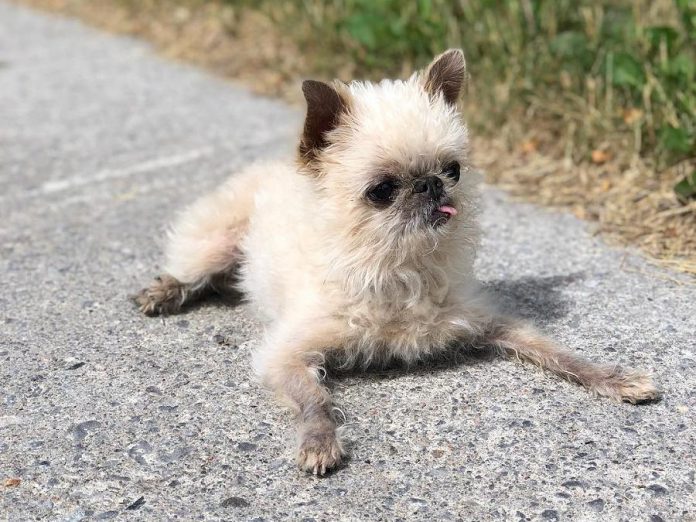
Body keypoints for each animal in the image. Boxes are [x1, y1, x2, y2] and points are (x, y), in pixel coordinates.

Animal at [135, 50, 656, 474]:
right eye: (382, 190)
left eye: (453, 170)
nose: (431, 184)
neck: (401, 268)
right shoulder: (285, 355)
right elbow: (314, 400)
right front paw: (319, 441)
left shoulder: (491, 323)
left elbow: (558, 353)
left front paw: (612, 378)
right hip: (216, 243)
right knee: (191, 270)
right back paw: (166, 291)